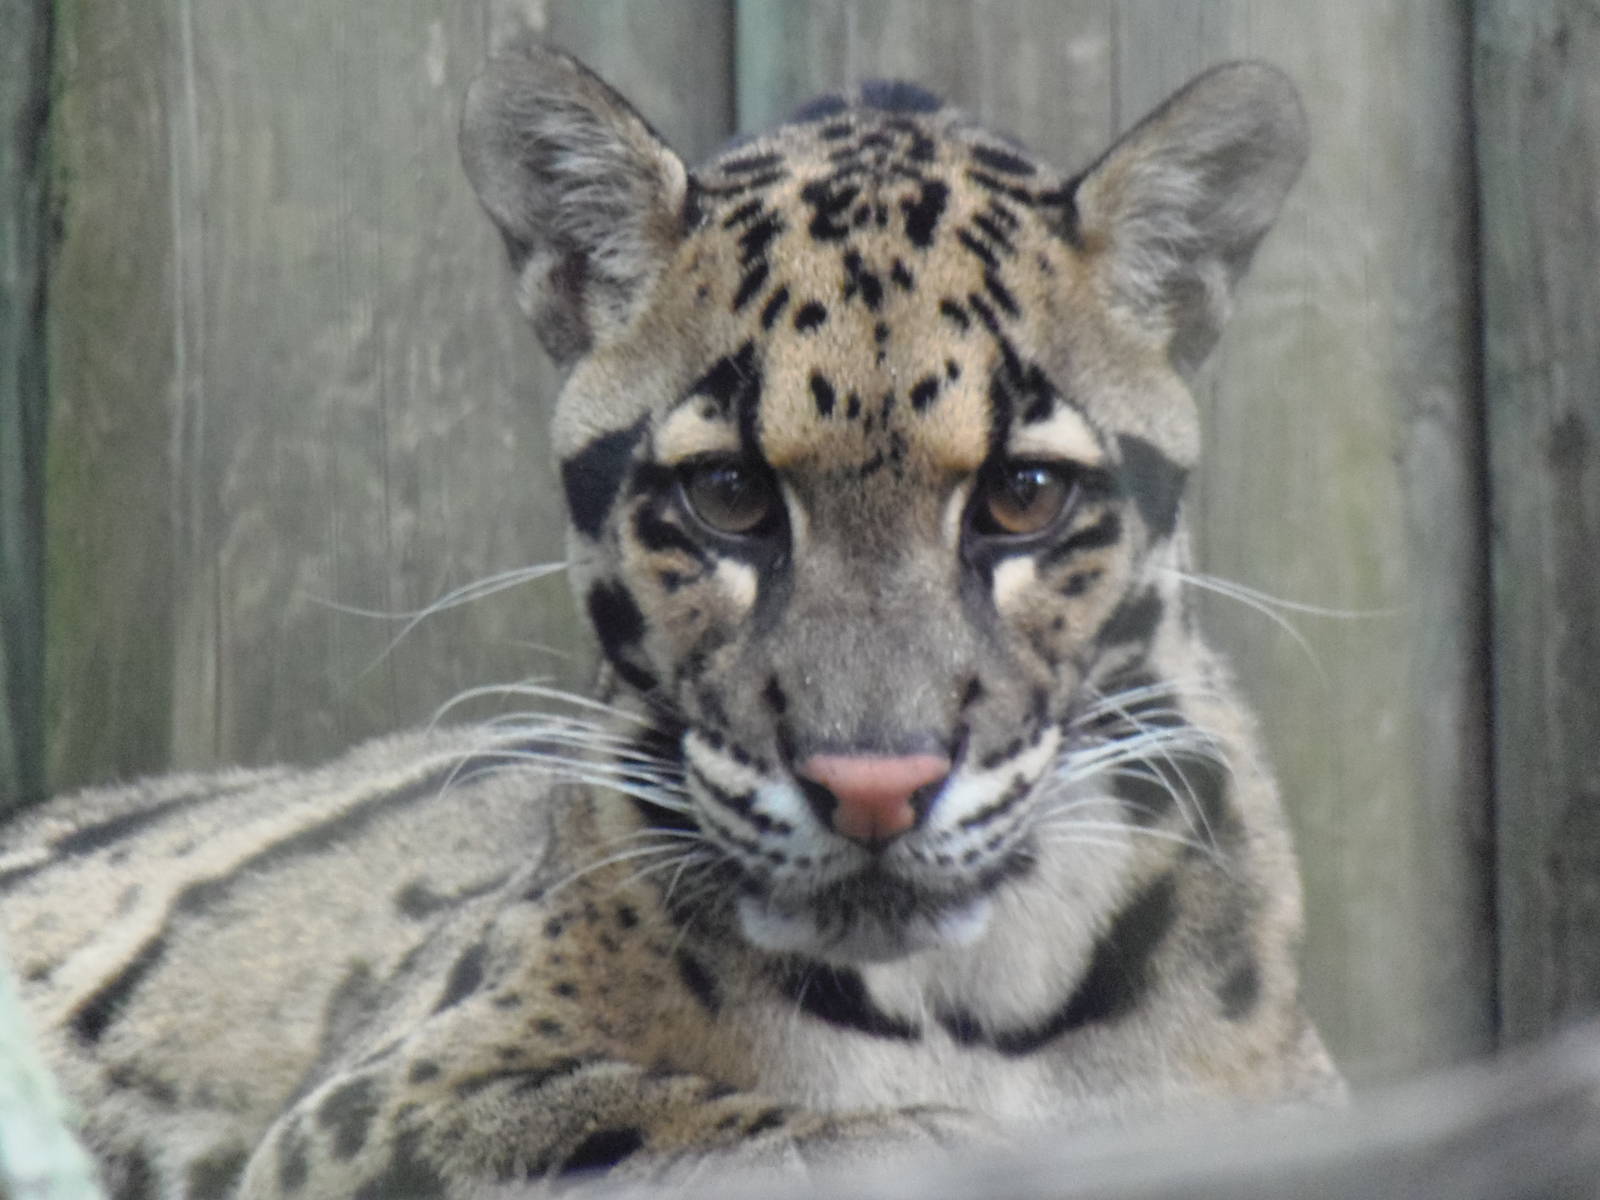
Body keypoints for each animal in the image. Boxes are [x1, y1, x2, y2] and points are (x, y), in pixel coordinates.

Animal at [0, 38, 1342, 1198]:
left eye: (1023, 496)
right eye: (729, 496)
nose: (873, 787)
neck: (964, 1004)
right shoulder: (375, 1104)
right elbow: (680, 1125)